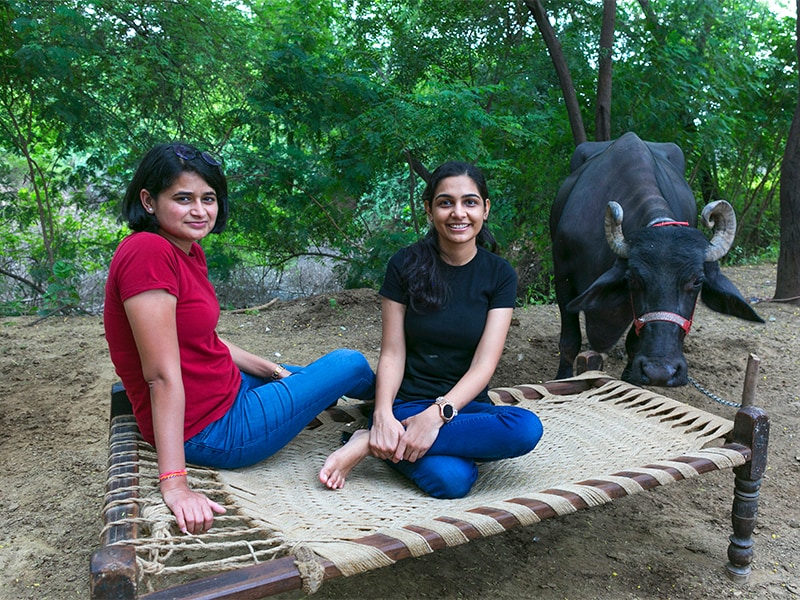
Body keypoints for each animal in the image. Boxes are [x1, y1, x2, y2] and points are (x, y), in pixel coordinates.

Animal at [552, 132, 764, 386]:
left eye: (697, 281)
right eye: (633, 279)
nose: (661, 372)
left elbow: (634, 344)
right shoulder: (562, 275)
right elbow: (569, 340)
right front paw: (562, 377)